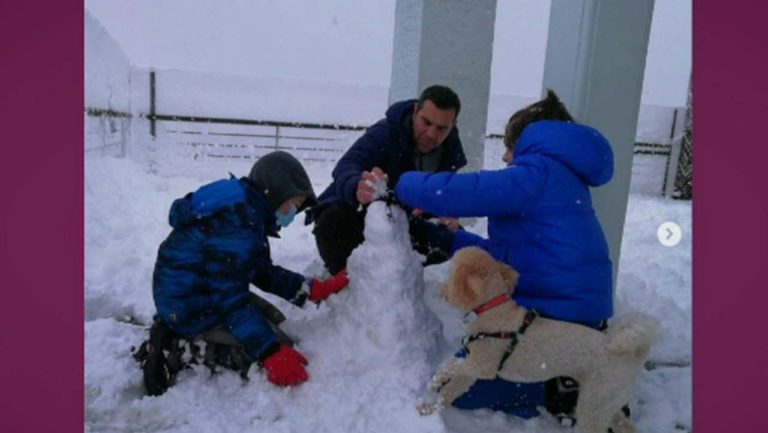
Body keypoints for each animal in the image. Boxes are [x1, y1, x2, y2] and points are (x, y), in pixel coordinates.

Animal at [416, 246, 656, 432]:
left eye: (452, 274)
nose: (443, 291)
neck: (496, 310)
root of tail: (634, 356)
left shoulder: (484, 365)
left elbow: (450, 364)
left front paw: (435, 378)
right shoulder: (471, 371)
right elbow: (450, 390)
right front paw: (429, 407)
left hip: (594, 404)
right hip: (606, 401)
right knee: (626, 425)